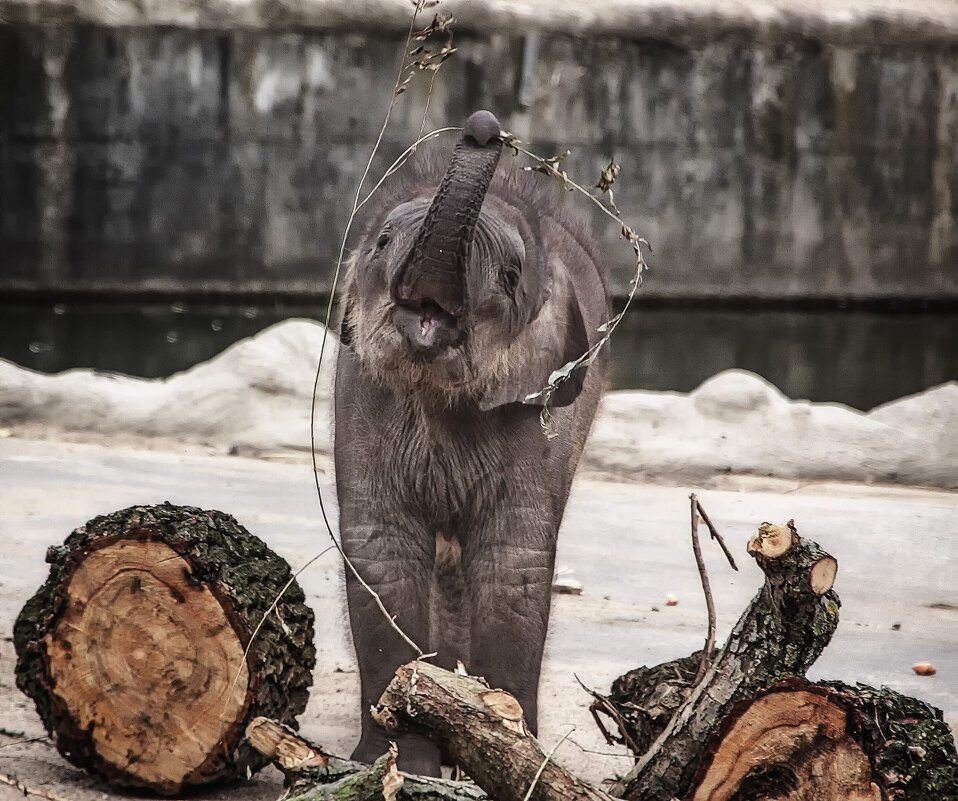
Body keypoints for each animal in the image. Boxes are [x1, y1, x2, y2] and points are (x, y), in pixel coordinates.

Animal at [338, 109, 608, 772]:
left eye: (510, 277)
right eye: (382, 242)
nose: (485, 126)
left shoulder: (537, 410)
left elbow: (512, 560)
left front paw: (505, 751)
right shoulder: (358, 390)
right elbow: (382, 549)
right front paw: (398, 761)